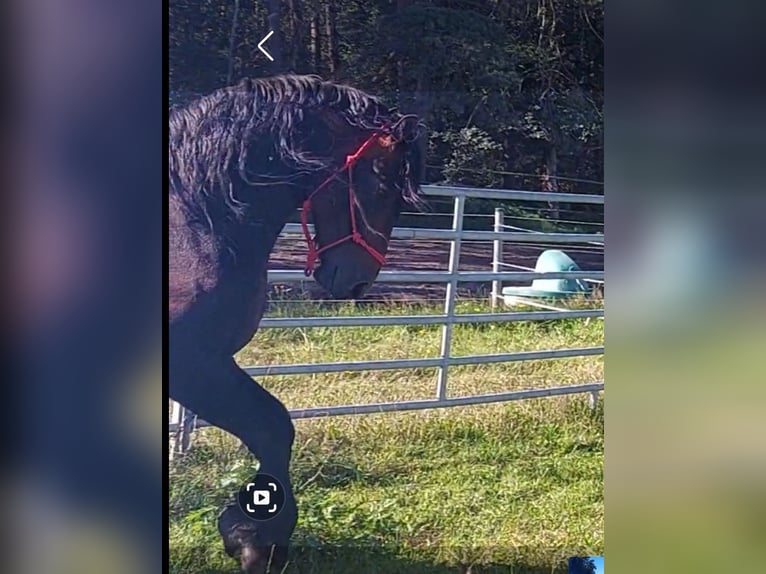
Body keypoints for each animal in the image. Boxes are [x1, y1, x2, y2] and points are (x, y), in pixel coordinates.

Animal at [169, 77, 428, 574]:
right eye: (383, 184)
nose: (358, 281)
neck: (194, 222)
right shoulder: (191, 363)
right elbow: (273, 425)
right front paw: (257, 539)